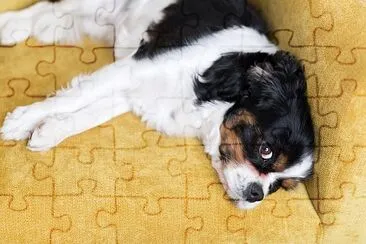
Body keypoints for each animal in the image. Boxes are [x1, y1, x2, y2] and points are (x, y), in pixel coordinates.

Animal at [0, 0, 314, 210]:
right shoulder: (137, 68)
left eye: (279, 186)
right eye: (265, 150)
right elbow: (77, 96)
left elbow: (88, 113)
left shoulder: (135, 92)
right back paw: (8, 24)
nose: (256, 194)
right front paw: (22, 120)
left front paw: (49, 131)